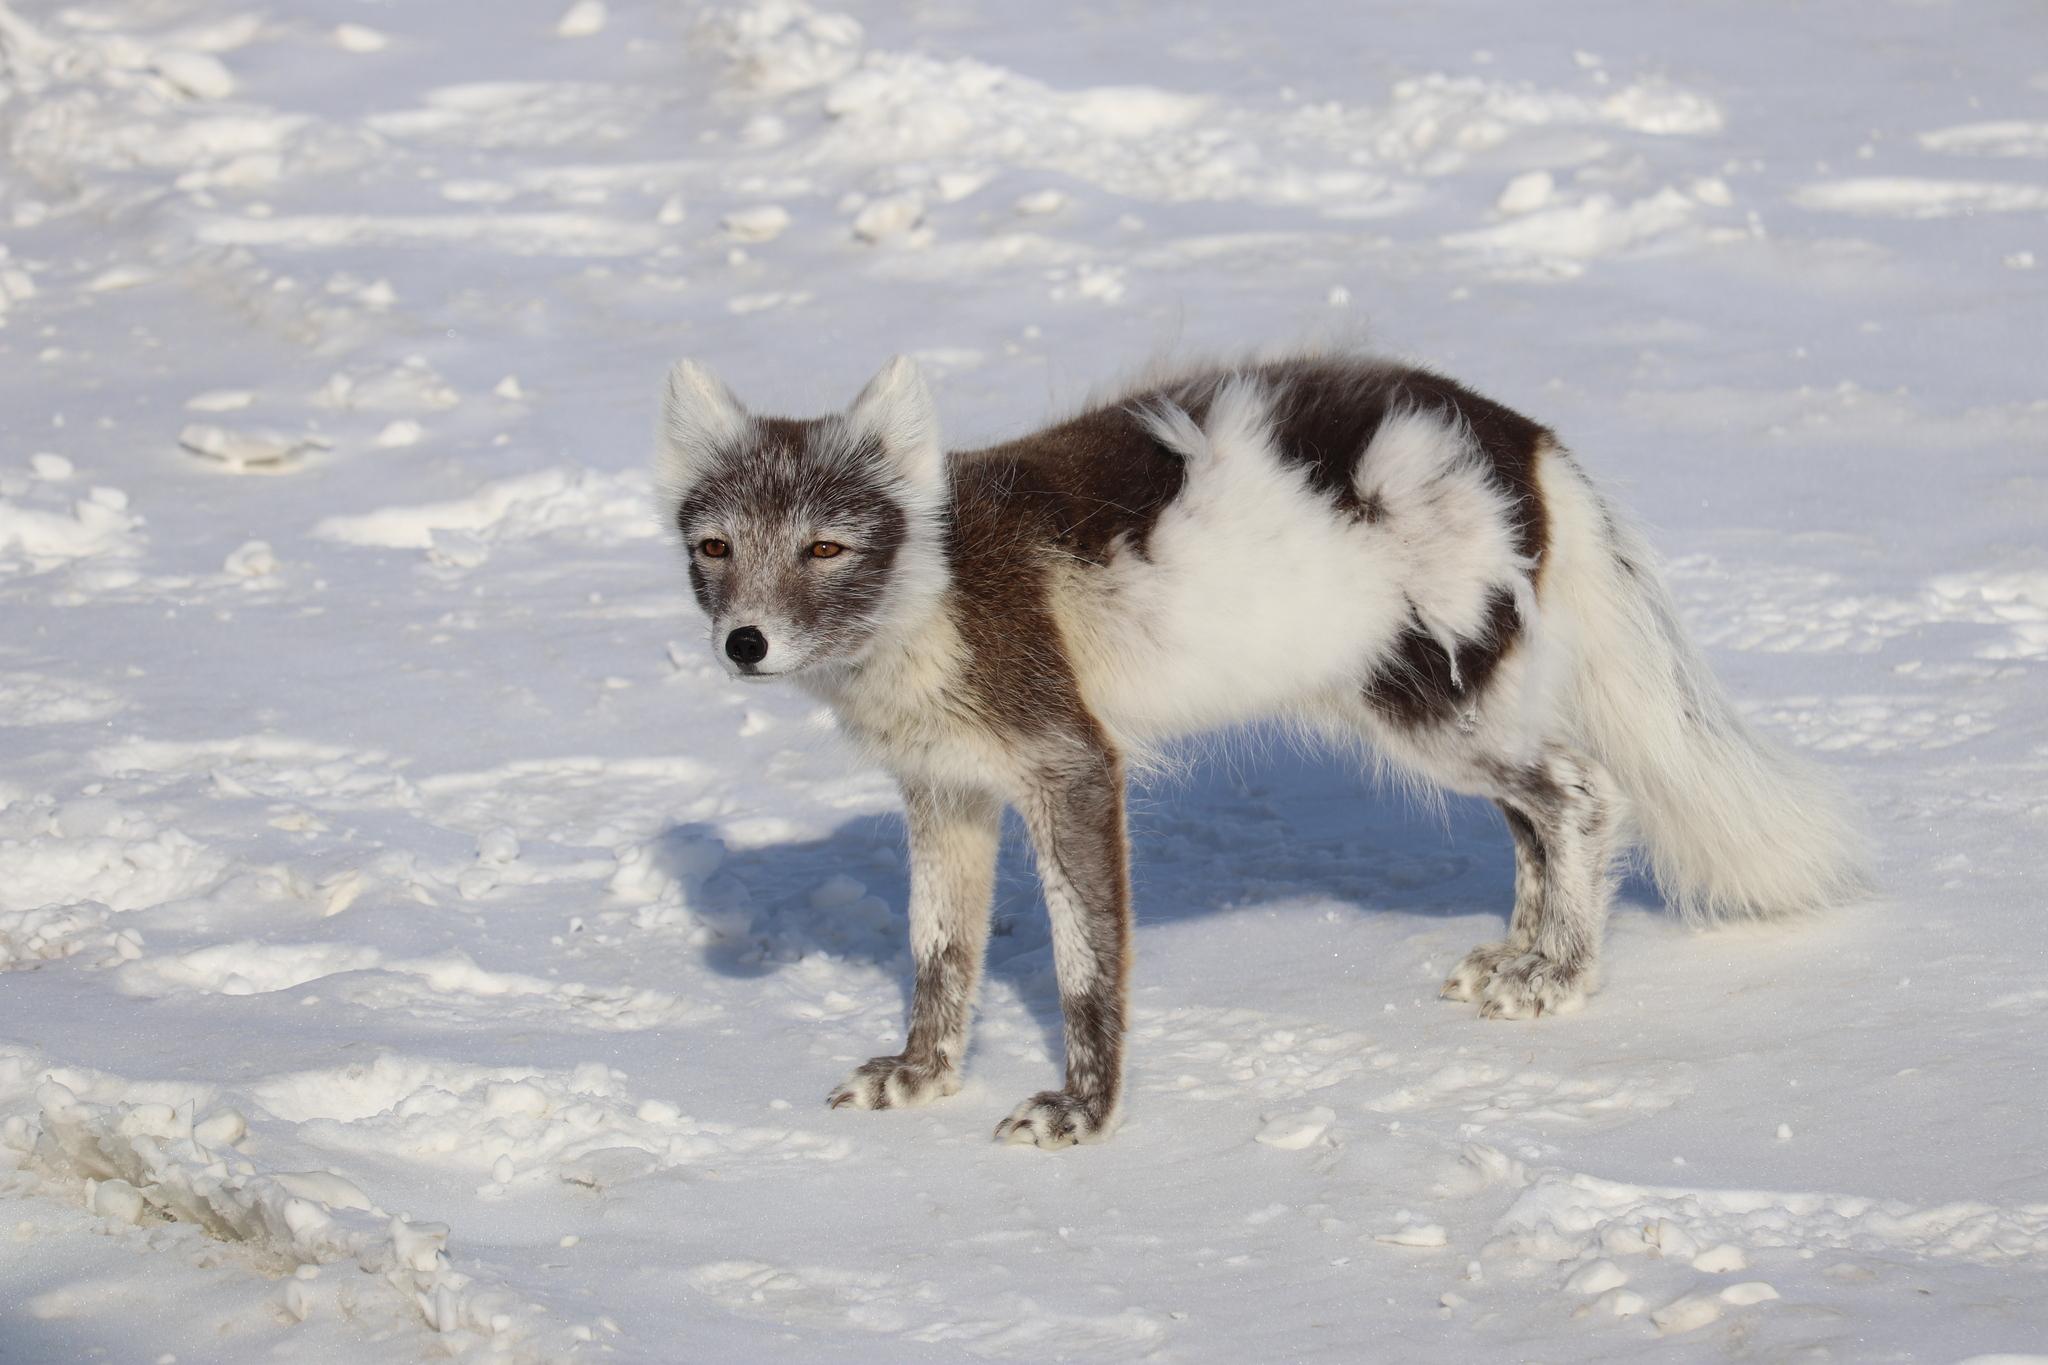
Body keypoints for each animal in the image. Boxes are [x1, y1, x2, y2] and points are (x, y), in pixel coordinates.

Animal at [654, 350, 1866, 1149]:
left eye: (825, 547)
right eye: (713, 547)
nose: (745, 643)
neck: (933, 594)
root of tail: (1526, 435)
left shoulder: (1070, 764)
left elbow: (1086, 969)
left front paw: (1082, 1114)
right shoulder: (945, 791)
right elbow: (939, 957)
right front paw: (920, 1077)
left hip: (1427, 713)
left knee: (1582, 792)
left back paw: (1561, 977)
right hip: (1441, 711)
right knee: (1540, 816)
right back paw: (1521, 959)